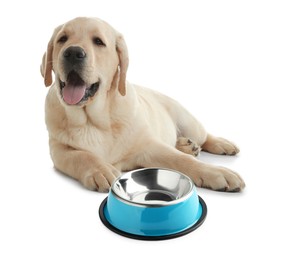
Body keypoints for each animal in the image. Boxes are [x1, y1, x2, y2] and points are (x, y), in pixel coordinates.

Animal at [40, 16, 246, 191]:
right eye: (62, 39)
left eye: (98, 42)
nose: (73, 52)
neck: (93, 119)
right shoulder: (58, 150)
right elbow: (83, 156)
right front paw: (101, 170)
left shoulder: (148, 146)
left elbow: (181, 160)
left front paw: (217, 172)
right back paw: (187, 145)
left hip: (189, 122)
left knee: (204, 136)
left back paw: (221, 144)